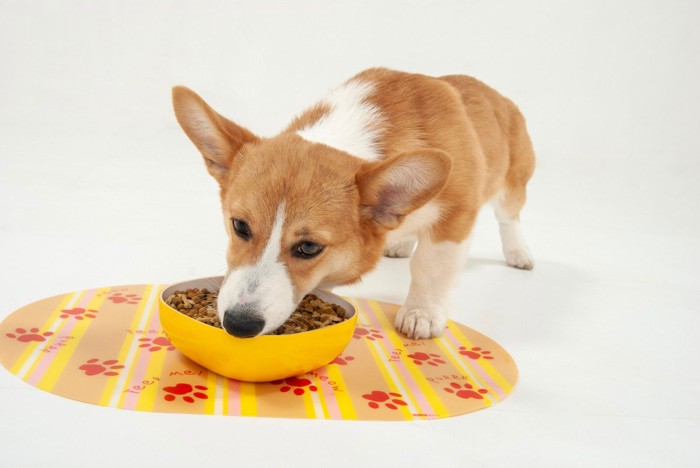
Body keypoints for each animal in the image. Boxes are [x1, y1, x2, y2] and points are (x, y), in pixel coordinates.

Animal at [174, 67, 536, 338]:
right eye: (239, 226)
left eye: (309, 248)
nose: (238, 324)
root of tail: (495, 93)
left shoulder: (456, 214)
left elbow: (431, 267)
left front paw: (421, 314)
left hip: (513, 181)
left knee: (510, 217)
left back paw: (519, 253)